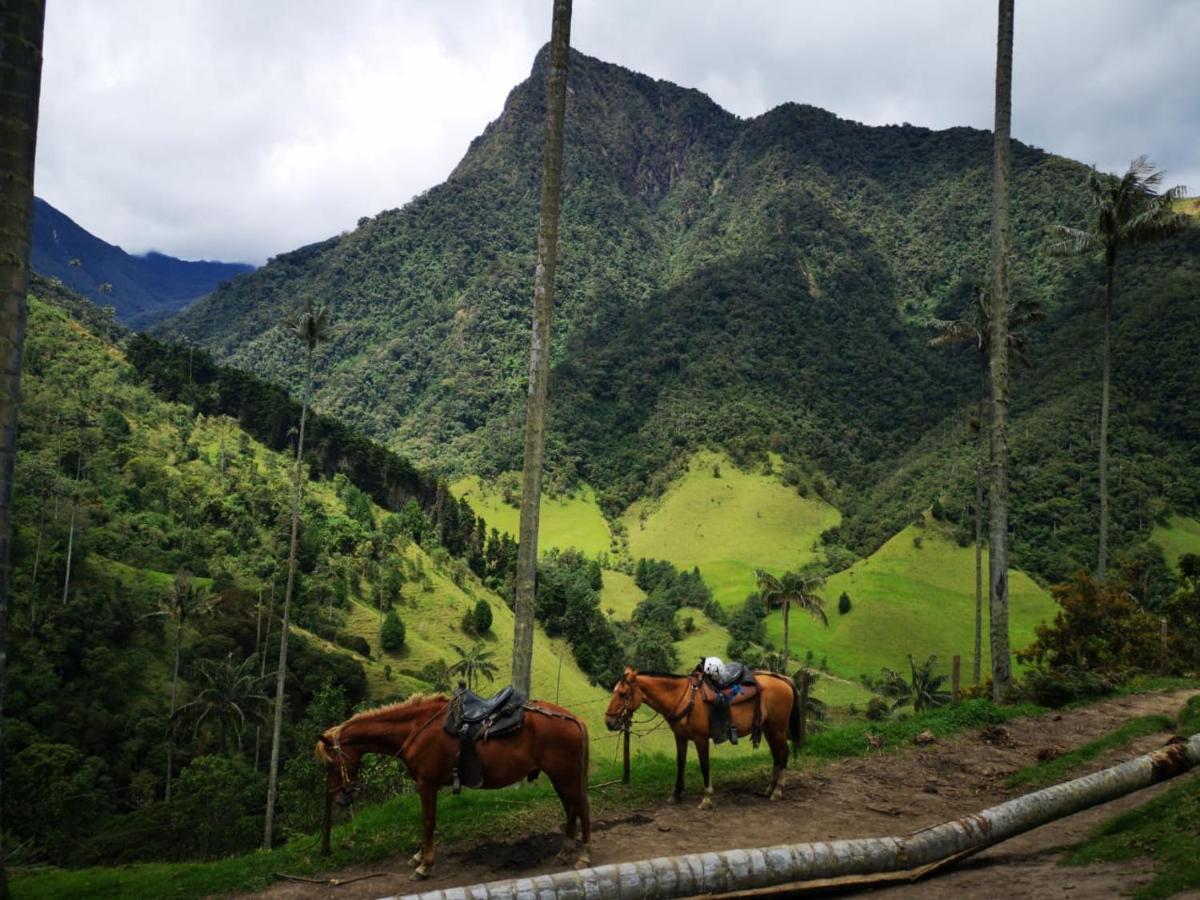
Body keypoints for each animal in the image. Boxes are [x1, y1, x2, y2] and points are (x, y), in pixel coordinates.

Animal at [312, 696, 588, 878]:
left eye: (331, 763)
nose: (339, 798)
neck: (415, 729)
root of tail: (574, 719)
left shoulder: (426, 784)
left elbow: (427, 821)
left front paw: (424, 864)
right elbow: (426, 821)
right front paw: (419, 856)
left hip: (563, 776)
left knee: (579, 808)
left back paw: (582, 854)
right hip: (563, 777)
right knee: (573, 808)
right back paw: (567, 851)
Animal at [609, 672, 796, 811]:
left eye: (623, 694)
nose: (609, 722)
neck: (683, 698)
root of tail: (783, 680)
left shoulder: (700, 738)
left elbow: (704, 765)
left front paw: (707, 798)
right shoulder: (680, 737)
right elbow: (680, 763)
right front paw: (676, 794)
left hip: (777, 729)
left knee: (784, 754)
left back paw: (778, 790)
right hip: (768, 729)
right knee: (777, 755)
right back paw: (770, 788)